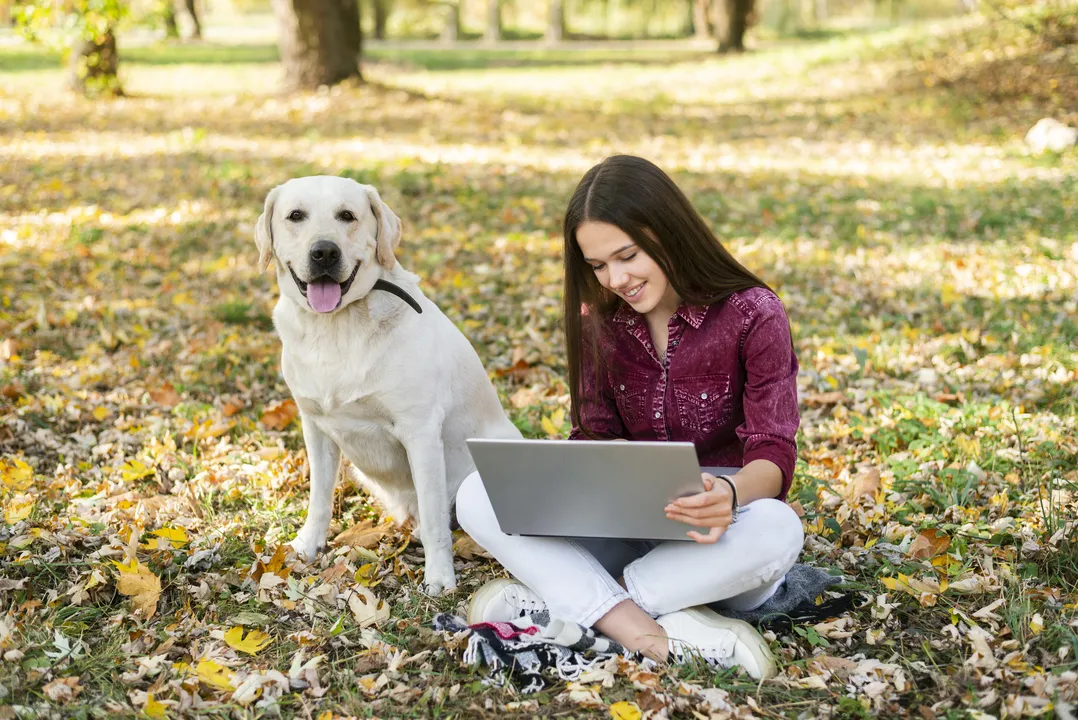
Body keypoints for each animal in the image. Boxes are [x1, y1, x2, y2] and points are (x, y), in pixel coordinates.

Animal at [254, 174, 519, 590]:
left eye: (347, 216)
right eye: (295, 216)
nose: (324, 252)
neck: (336, 327)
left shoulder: (420, 430)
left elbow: (434, 521)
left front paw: (439, 576)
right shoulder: (315, 426)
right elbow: (319, 498)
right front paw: (308, 545)